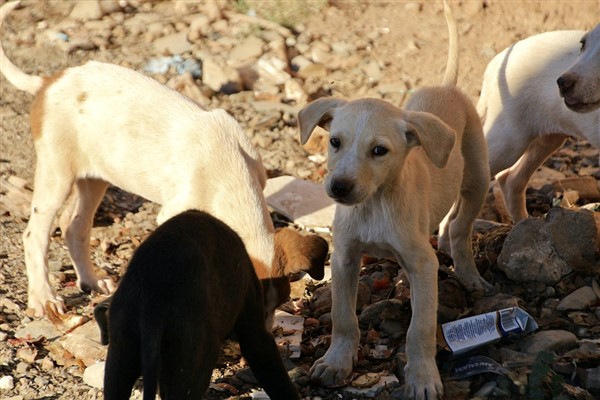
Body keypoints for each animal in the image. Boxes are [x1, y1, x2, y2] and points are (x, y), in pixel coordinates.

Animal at [1, 0, 328, 318]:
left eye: (278, 304)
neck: (230, 174)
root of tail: (48, 81)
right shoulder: (174, 212)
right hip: (56, 172)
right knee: (35, 235)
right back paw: (43, 298)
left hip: (95, 177)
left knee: (74, 226)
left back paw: (92, 281)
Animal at [298, 2, 490, 396]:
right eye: (334, 142)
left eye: (379, 151)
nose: (339, 187)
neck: (374, 204)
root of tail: (446, 87)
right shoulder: (344, 257)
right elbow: (342, 317)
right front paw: (336, 362)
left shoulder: (423, 263)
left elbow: (420, 329)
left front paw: (423, 377)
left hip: (478, 178)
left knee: (461, 229)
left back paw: (469, 274)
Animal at [478, 24, 600, 222]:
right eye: (582, 45)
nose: (562, 83)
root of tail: (494, 64)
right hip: (508, 141)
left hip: (546, 139)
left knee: (511, 179)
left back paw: (522, 224)